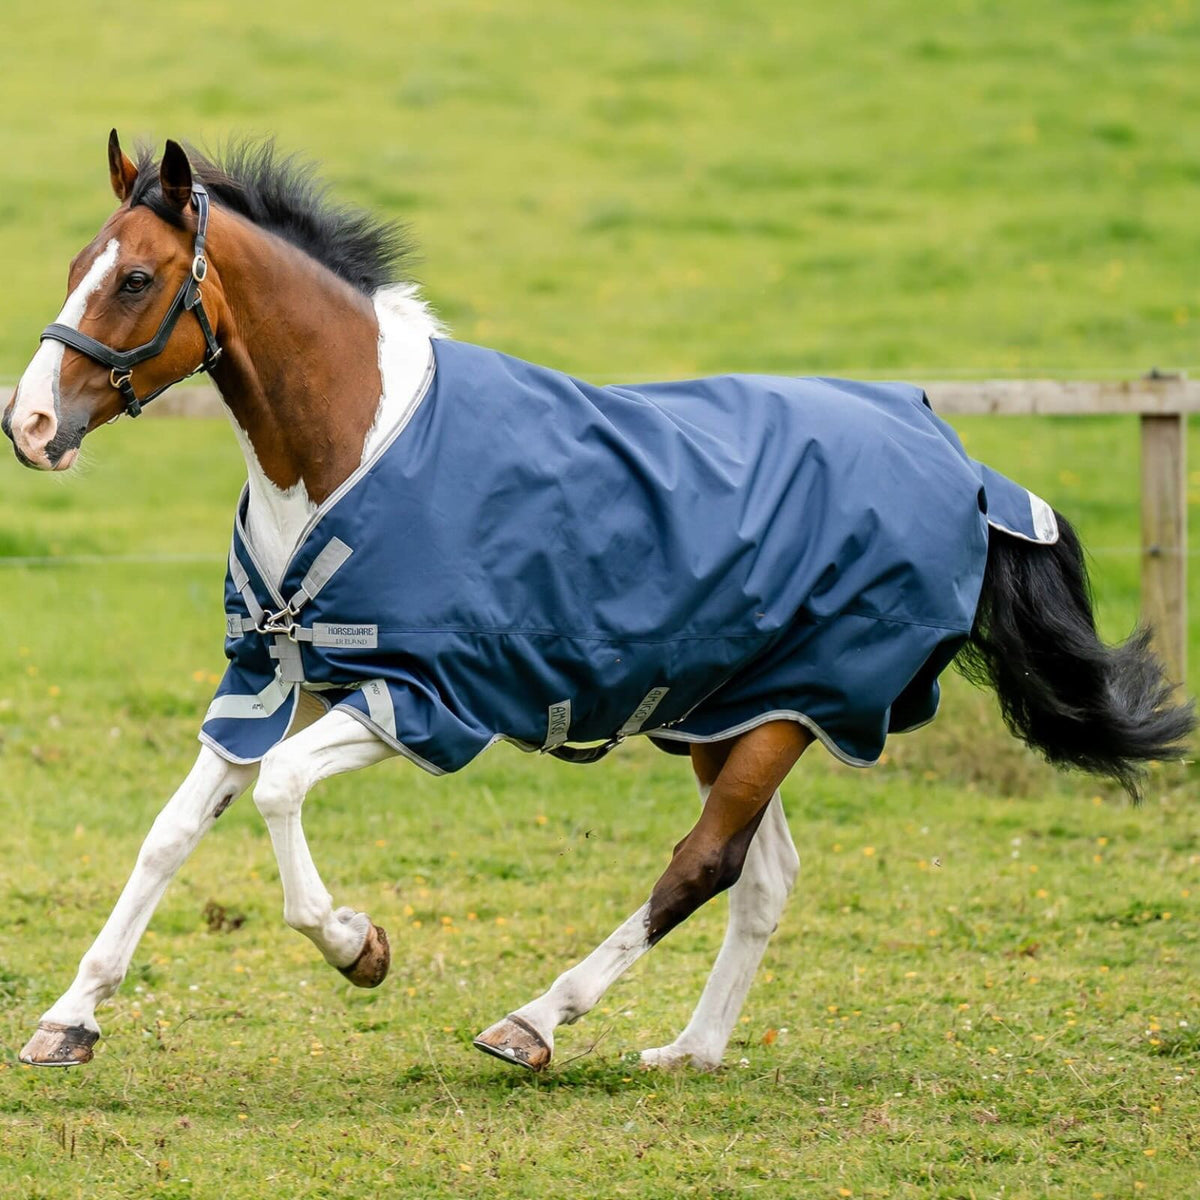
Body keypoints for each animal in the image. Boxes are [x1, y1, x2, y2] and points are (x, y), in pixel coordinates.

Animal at [4, 133, 1193, 1074]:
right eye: (75, 268)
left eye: (136, 279)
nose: (30, 425)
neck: (352, 442)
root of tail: (971, 471)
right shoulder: (270, 674)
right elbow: (169, 833)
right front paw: (69, 1021)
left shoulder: (421, 699)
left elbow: (282, 793)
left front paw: (358, 948)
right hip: (738, 714)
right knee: (762, 877)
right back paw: (691, 1050)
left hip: (799, 709)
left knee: (703, 866)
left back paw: (535, 1022)